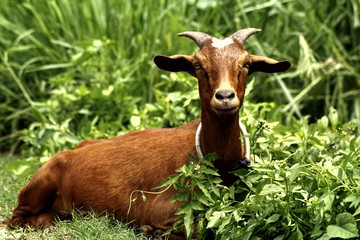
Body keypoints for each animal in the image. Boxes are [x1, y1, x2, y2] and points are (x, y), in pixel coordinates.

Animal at [7, 29, 290, 239]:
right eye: (198, 65)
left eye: (246, 64)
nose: (225, 96)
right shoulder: (161, 207)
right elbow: (195, 229)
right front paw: (148, 230)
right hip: (41, 181)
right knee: (16, 218)